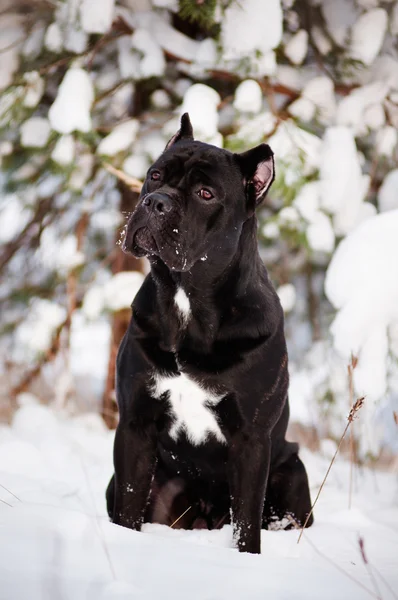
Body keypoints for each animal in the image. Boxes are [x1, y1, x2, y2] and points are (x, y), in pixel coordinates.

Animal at [106, 112, 314, 552]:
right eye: (155, 175)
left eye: (205, 193)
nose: (156, 201)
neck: (189, 298)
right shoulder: (135, 424)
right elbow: (128, 505)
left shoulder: (251, 440)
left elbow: (246, 522)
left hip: (291, 474)